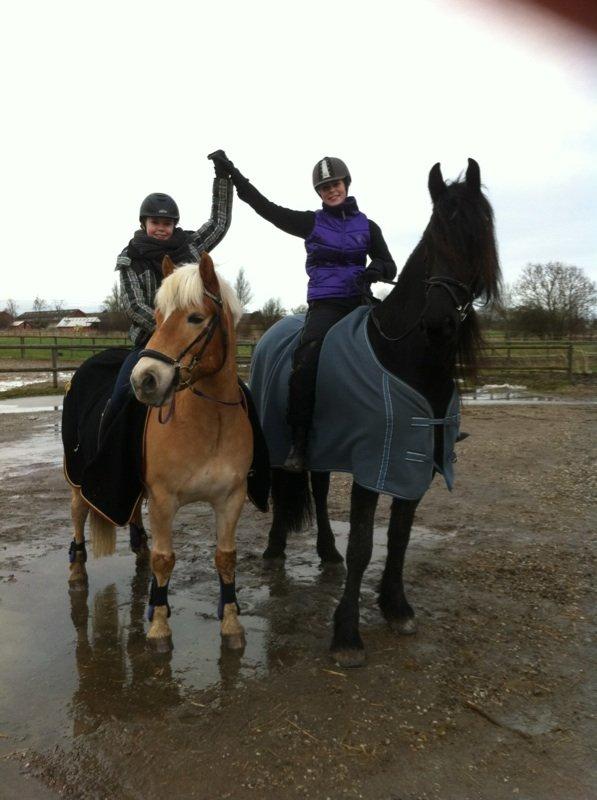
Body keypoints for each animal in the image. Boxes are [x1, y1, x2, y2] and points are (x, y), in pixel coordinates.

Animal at [66, 252, 252, 651]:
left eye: (195, 317)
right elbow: (165, 560)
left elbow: (226, 558)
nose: (145, 380)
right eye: (159, 314)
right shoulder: (165, 500)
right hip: (76, 478)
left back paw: (138, 548)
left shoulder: (231, 497)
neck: (208, 423)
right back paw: (76, 571)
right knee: (78, 514)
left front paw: (231, 624)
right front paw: (159, 628)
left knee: (133, 511)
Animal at [253, 158, 501, 667]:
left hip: (324, 444)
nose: (439, 322)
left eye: (478, 235)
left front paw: (396, 606)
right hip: (280, 440)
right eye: (436, 235)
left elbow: (399, 538)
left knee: (317, 485)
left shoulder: (416, 464)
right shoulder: (373, 465)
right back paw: (275, 549)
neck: (406, 359)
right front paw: (347, 635)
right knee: (285, 488)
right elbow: (365, 545)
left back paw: (326, 553)